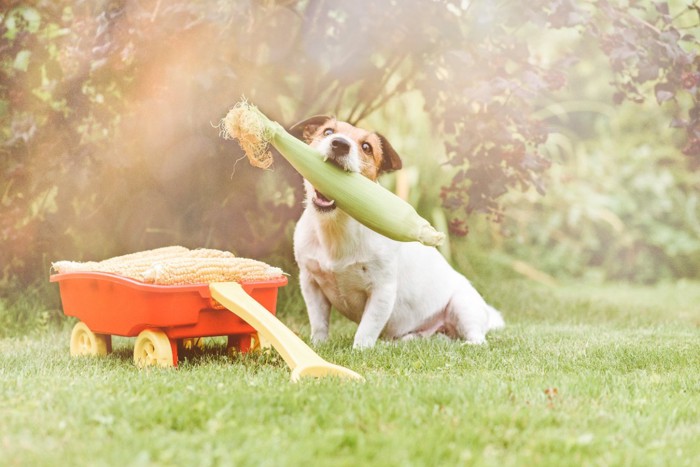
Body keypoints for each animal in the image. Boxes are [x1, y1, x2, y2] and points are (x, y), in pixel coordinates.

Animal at [290, 116, 504, 352]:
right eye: (328, 132)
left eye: (367, 147)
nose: (340, 144)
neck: (337, 226)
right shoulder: (310, 283)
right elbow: (319, 322)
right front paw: (317, 346)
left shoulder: (382, 290)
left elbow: (366, 329)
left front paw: (359, 351)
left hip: (463, 305)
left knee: (478, 338)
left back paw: (468, 343)